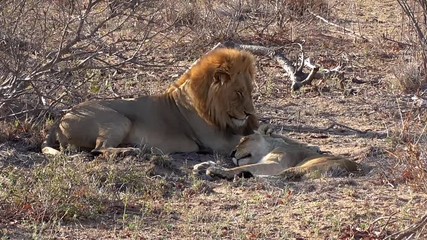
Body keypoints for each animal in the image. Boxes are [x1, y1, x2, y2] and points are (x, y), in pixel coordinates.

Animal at [42, 48, 258, 156]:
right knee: (99, 149)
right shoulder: (214, 141)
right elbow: (245, 137)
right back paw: (128, 151)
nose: (249, 113)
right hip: (119, 120)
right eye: (238, 93)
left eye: (250, 91)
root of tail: (60, 120)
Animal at [194, 125, 362, 180]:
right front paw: (203, 165)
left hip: (308, 166)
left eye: (245, 139)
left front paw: (219, 169)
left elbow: (241, 166)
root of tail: (355, 169)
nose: (231, 153)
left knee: (281, 176)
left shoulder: (276, 163)